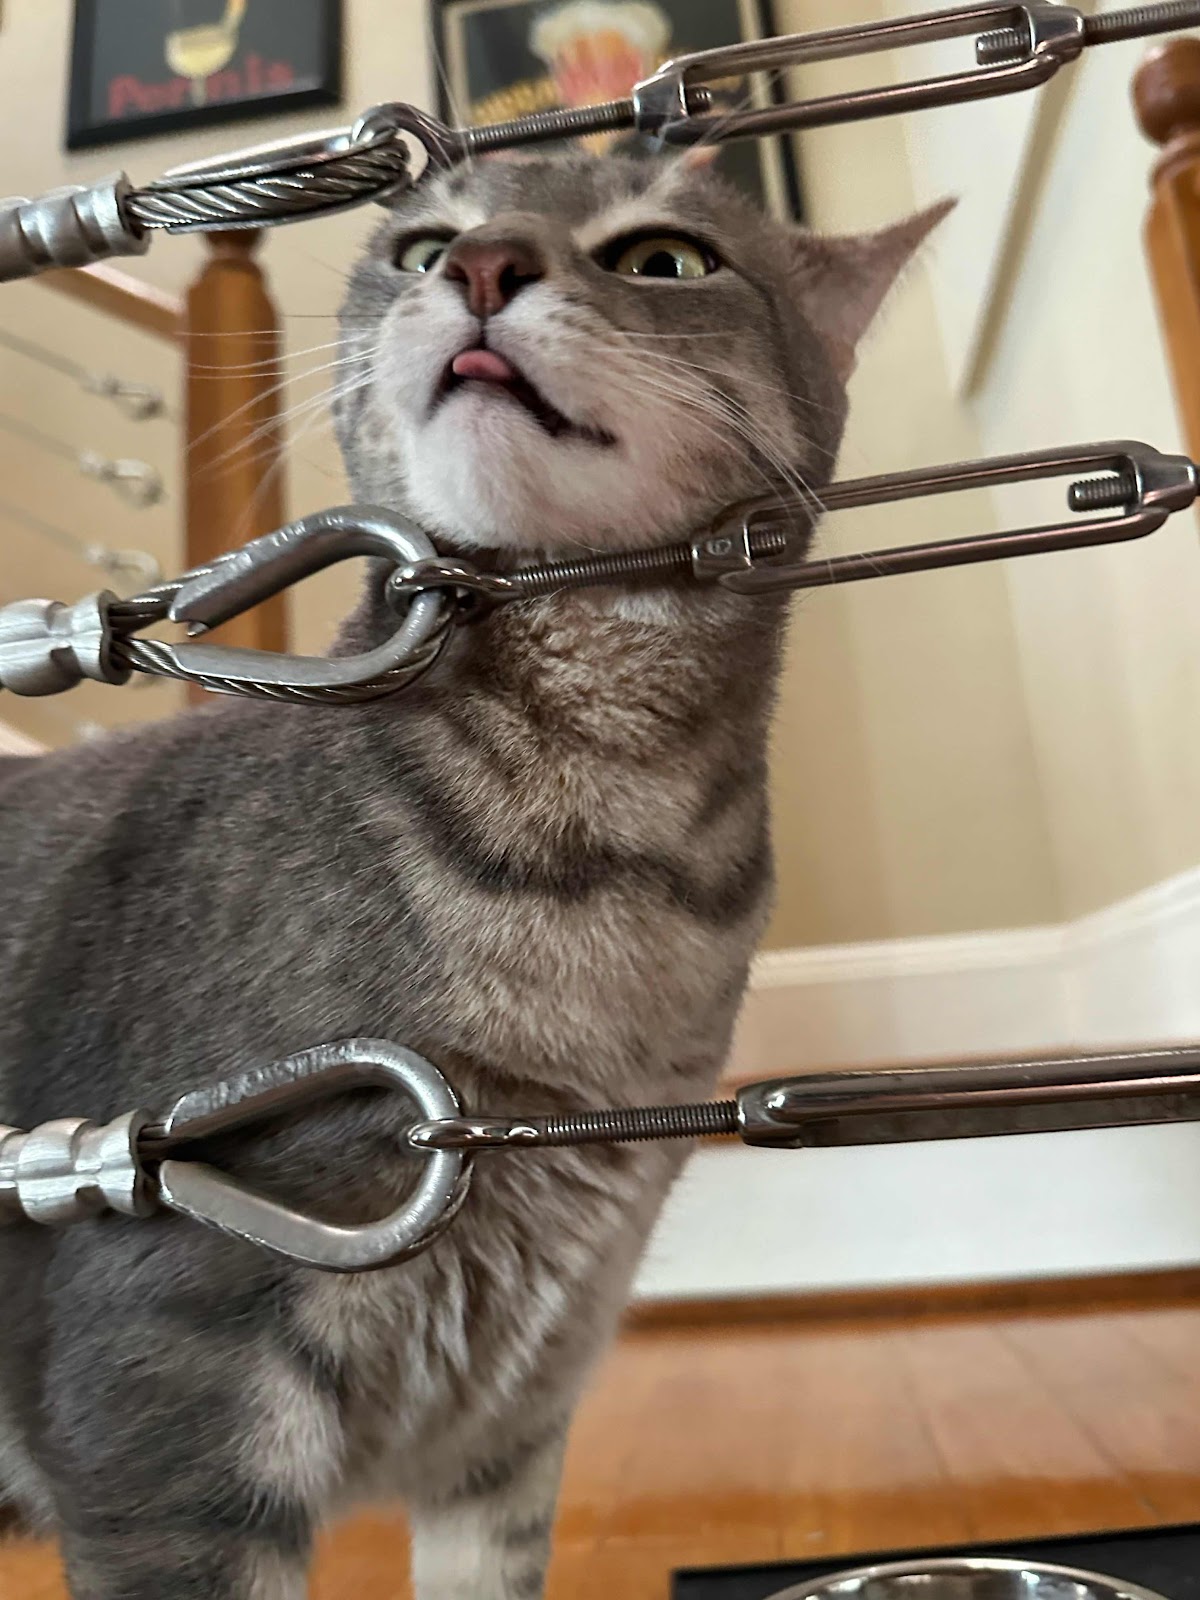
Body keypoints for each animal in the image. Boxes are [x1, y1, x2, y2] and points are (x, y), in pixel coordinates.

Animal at [0, 150, 943, 1600]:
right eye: (422, 242)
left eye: (665, 259)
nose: (485, 262)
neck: (605, 856)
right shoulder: (157, 1410)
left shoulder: (512, 1426)